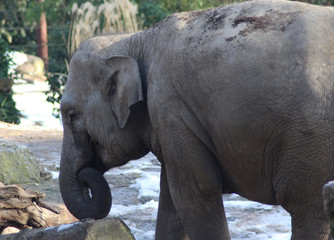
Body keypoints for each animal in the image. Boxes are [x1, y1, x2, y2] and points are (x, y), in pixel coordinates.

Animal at [58, 0, 334, 239]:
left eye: (72, 115)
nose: (85, 175)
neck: (136, 38)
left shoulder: (170, 107)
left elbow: (196, 191)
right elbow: (170, 199)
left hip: (309, 143)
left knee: (307, 208)